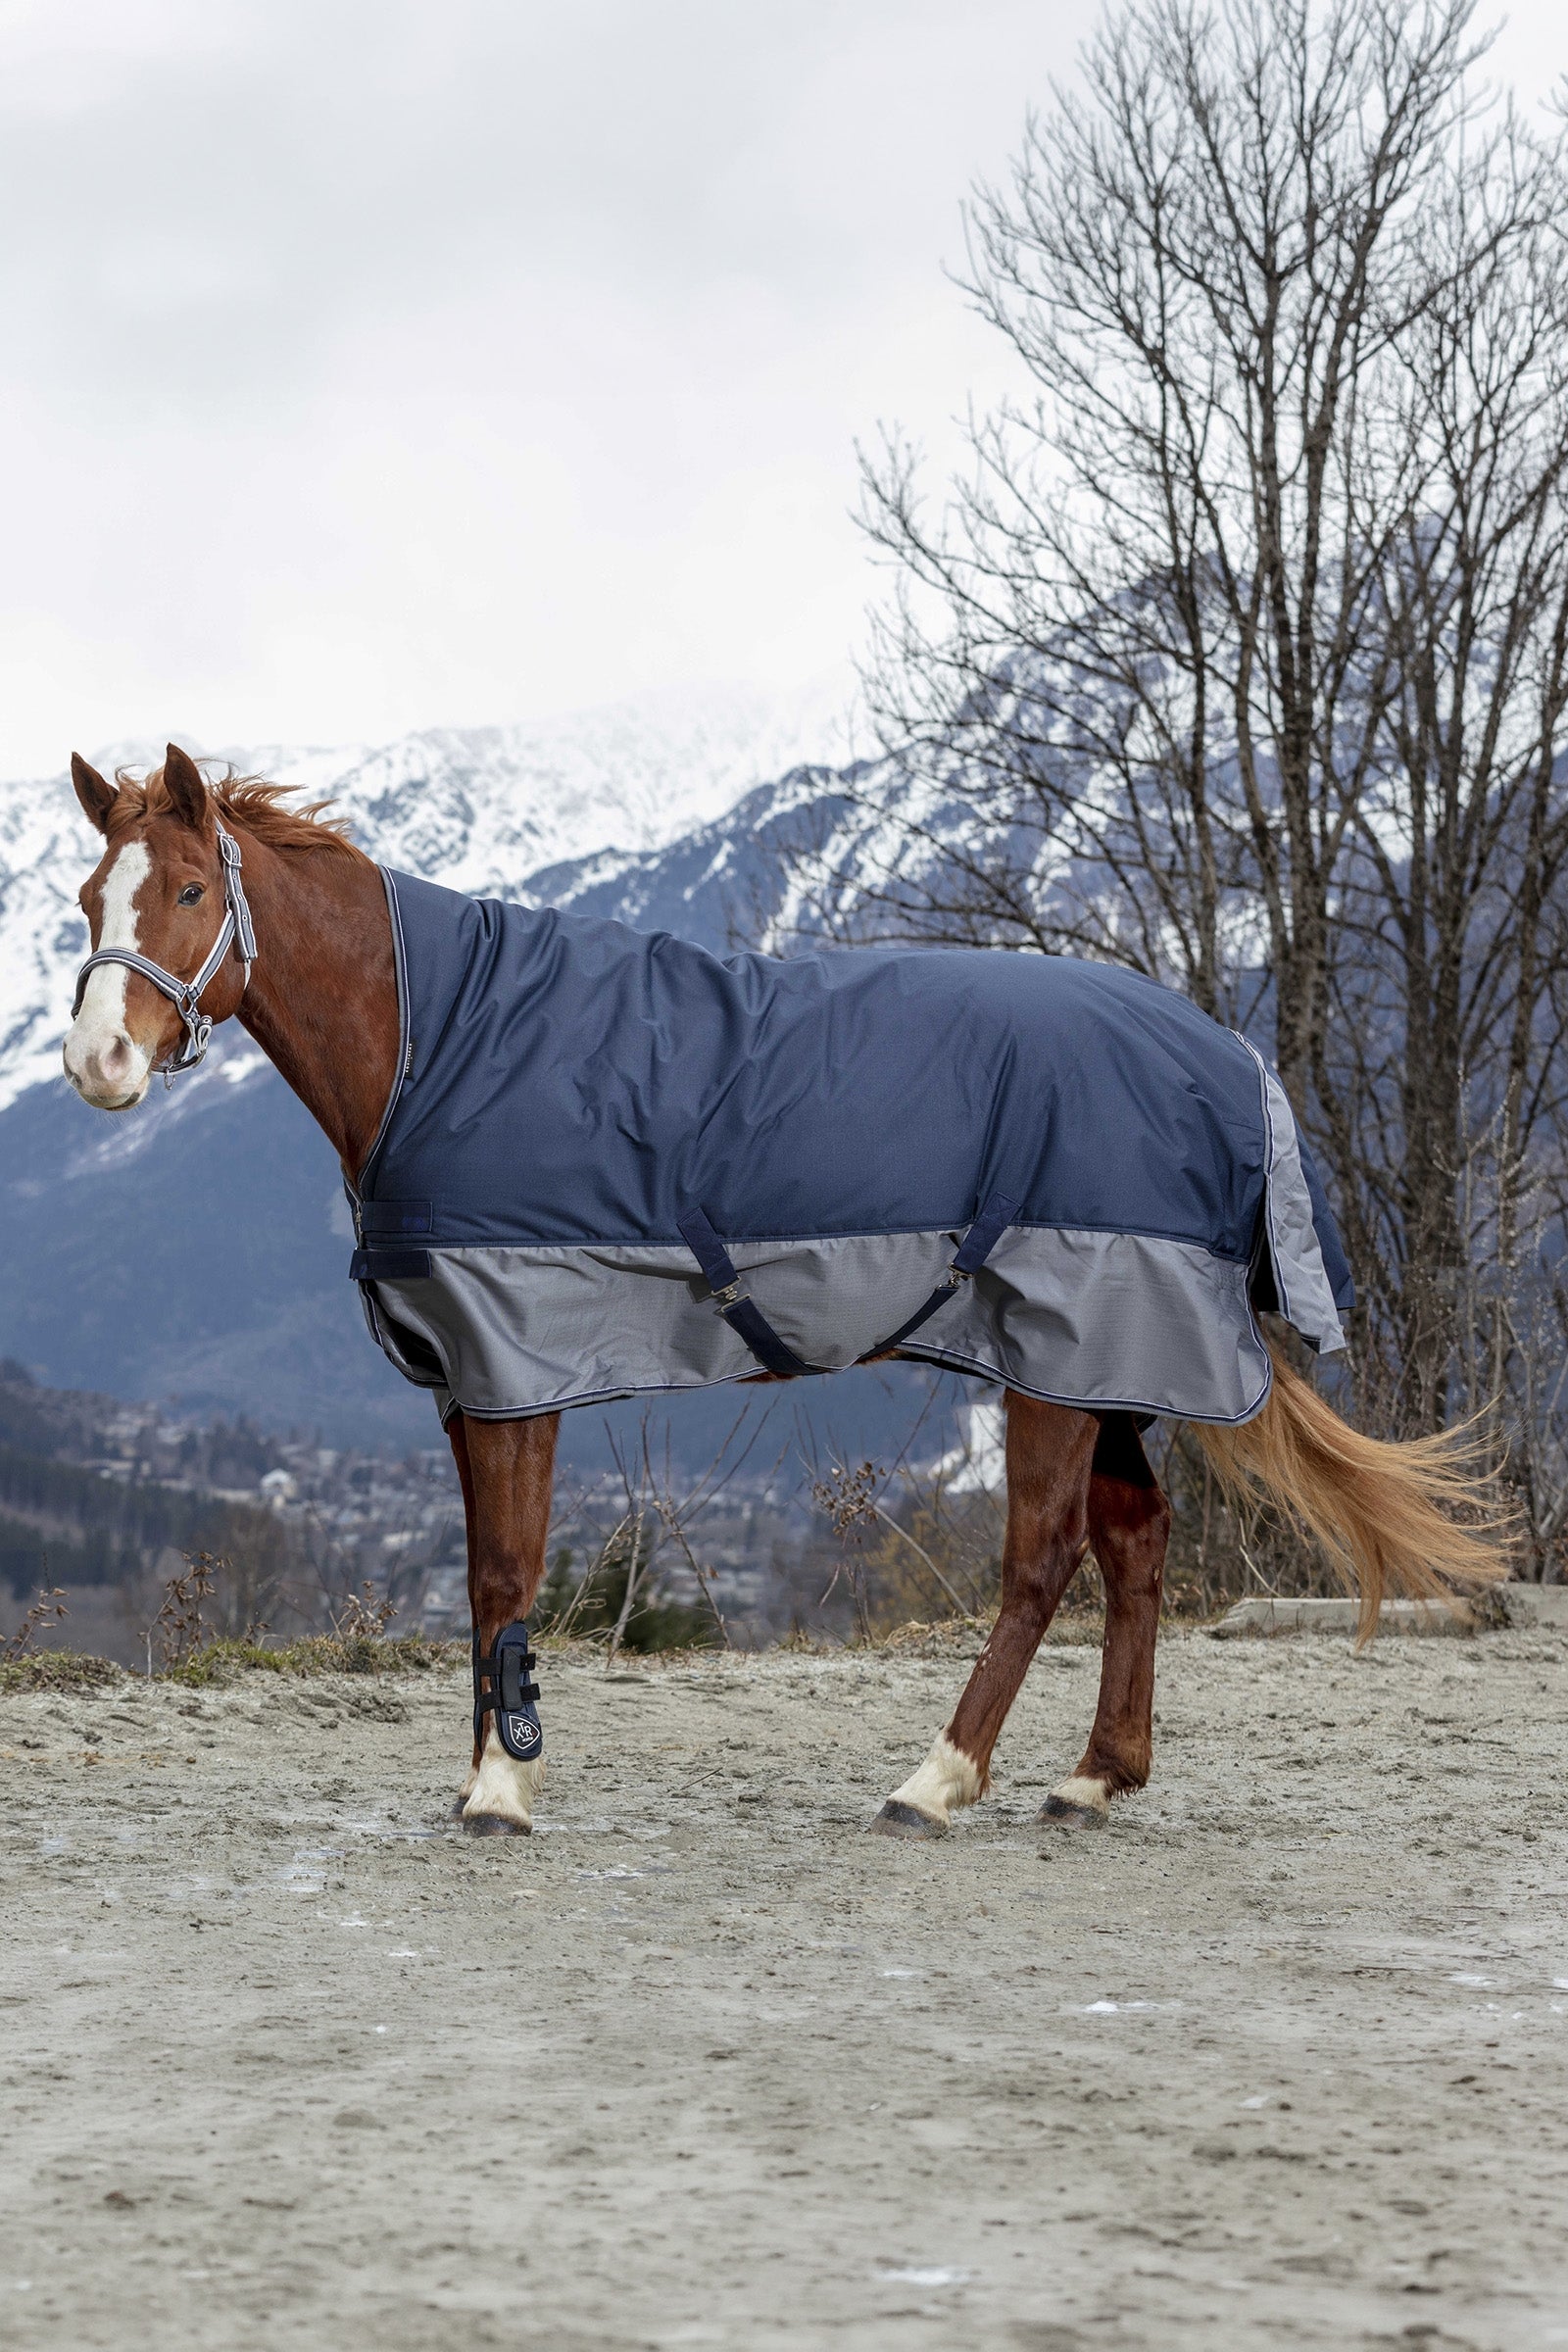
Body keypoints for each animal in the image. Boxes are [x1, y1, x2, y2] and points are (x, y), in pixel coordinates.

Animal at [61, 744, 1506, 1837]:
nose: (94, 1065)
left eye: (186, 889)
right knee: (1137, 1545)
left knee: (1043, 1561)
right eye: (85, 897)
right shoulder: (473, 1381)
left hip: (1055, 1360)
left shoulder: (520, 1365)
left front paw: (500, 1792)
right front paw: (488, 1773)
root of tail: (1224, 1061)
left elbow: (507, 1574)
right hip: (1103, 1368)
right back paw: (1096, 1777)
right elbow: (485, 1581)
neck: (443, 1037)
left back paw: (936, 1781)